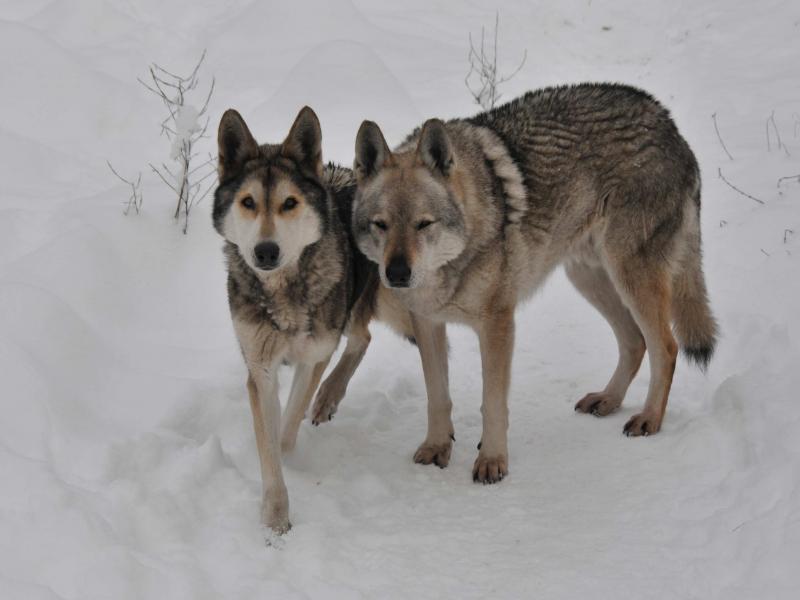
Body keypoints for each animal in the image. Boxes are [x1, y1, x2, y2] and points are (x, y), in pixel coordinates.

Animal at [211, 105, 382, 532]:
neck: (283, 291)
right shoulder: (260, 370)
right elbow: (269, 445)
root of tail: (346, 172)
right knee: (362, 338)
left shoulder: (313, 356)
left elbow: (287, 430)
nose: (266, 251)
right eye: (248, 202)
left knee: (362, 338)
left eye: (289, 203)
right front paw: (275, 516)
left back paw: (327, 399)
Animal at [350, 82, 720, 482]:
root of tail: (669, 124)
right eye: (381, 224)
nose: (397, 274)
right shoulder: (427, 322)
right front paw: (436, 448)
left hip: (630, 277)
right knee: (634, 342)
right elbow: (437, 396)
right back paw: (608, 400)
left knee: (666, 347)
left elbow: (492, 403)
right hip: (588, 277)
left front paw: (492, 461)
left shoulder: (497, 324)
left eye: (423, 223)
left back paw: (649, 419)